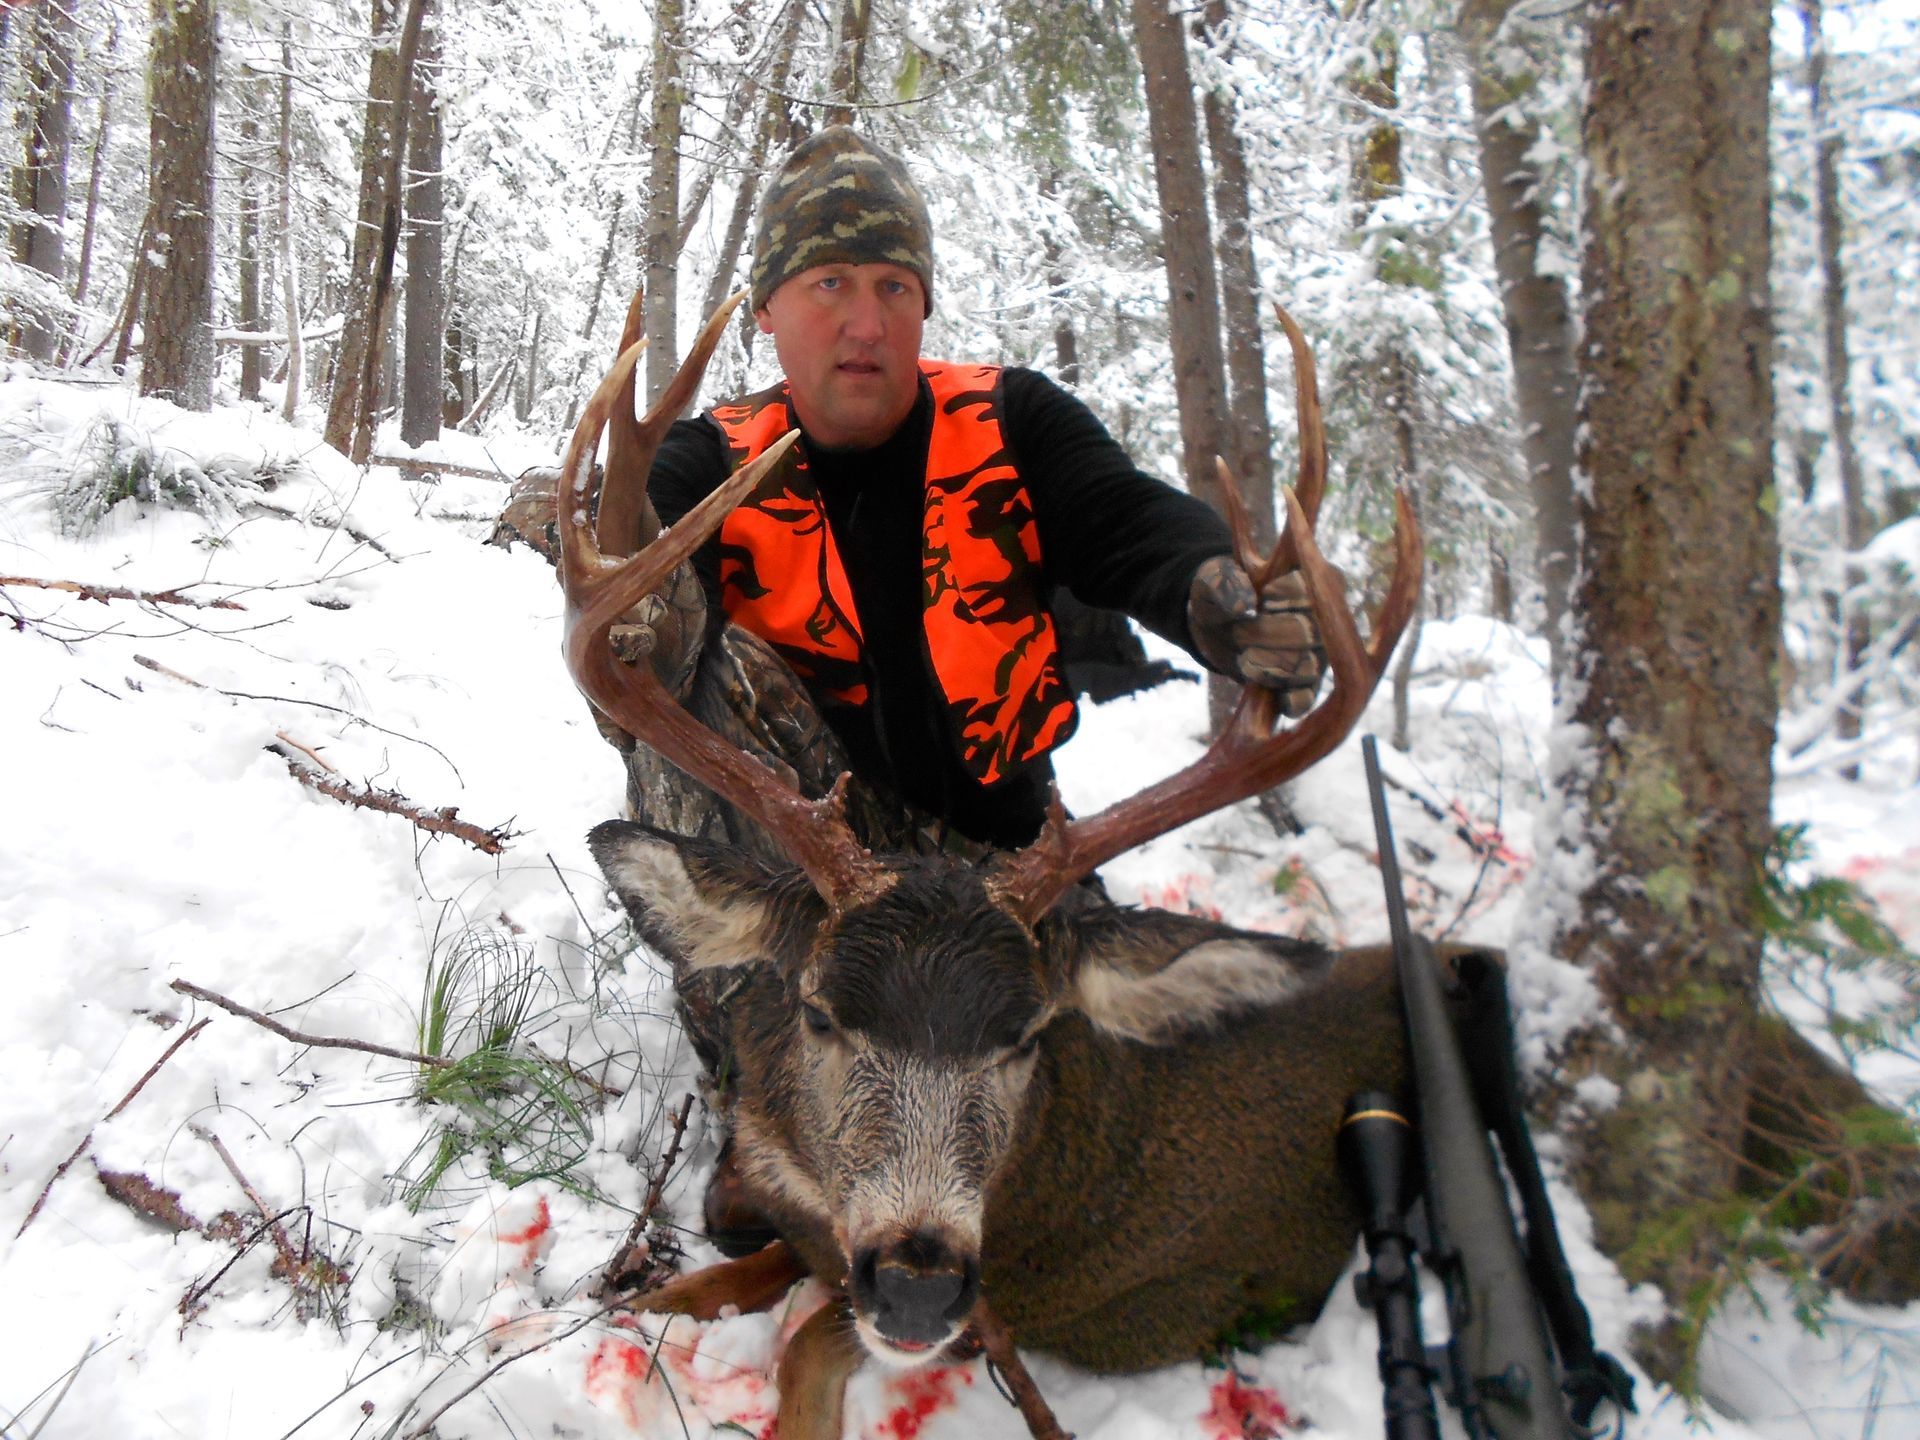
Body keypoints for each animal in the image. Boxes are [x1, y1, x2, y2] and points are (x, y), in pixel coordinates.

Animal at [556, 293, 1427, 1440]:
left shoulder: (1001, 1303)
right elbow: (701, 1283)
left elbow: (808, 1345)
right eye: (820, 1013)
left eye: (1025, 1037)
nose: (917, 1283)